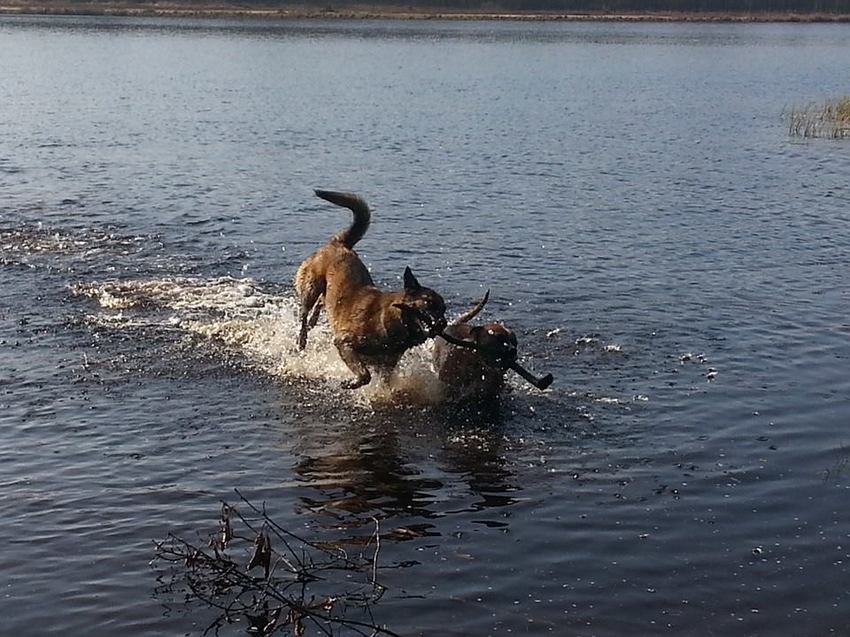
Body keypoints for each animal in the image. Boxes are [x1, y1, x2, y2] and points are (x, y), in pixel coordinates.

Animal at [294, 190, 448, 389]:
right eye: (428, 302)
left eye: (444, 309)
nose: (443, 323)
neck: (390, 319)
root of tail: (340, 244)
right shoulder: (344, 342)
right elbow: (364, 374)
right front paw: (351, 383)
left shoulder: (385, 367)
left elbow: (382, 382)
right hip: (310, 287)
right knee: (304, 314)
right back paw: (302, 338)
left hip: (327, 291)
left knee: (322, 303)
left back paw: (314, 320)